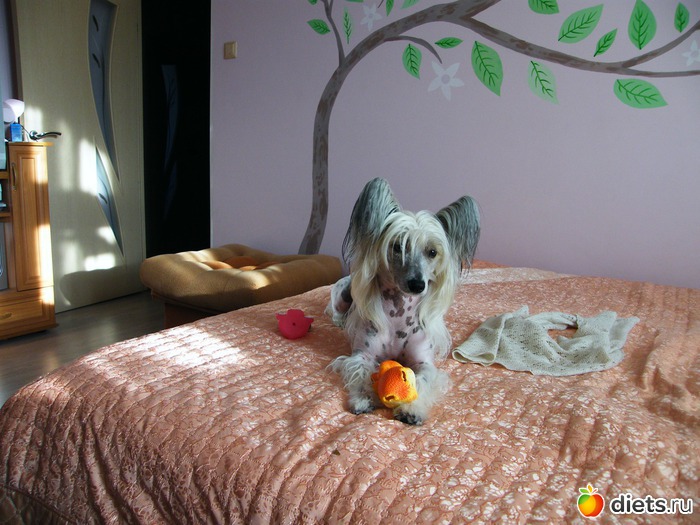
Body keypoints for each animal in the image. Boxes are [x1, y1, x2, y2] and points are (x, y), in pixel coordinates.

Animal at [328, 178, 480, 425]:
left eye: (432, 252)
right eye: (398, 247)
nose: (417, 284)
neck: (398, 312)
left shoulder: (424, 363)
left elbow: (422, 381)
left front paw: (412, 408)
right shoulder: (362, 355)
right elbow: (359, 373)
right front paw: (362, 399)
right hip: (344, 294)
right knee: (336, 311)